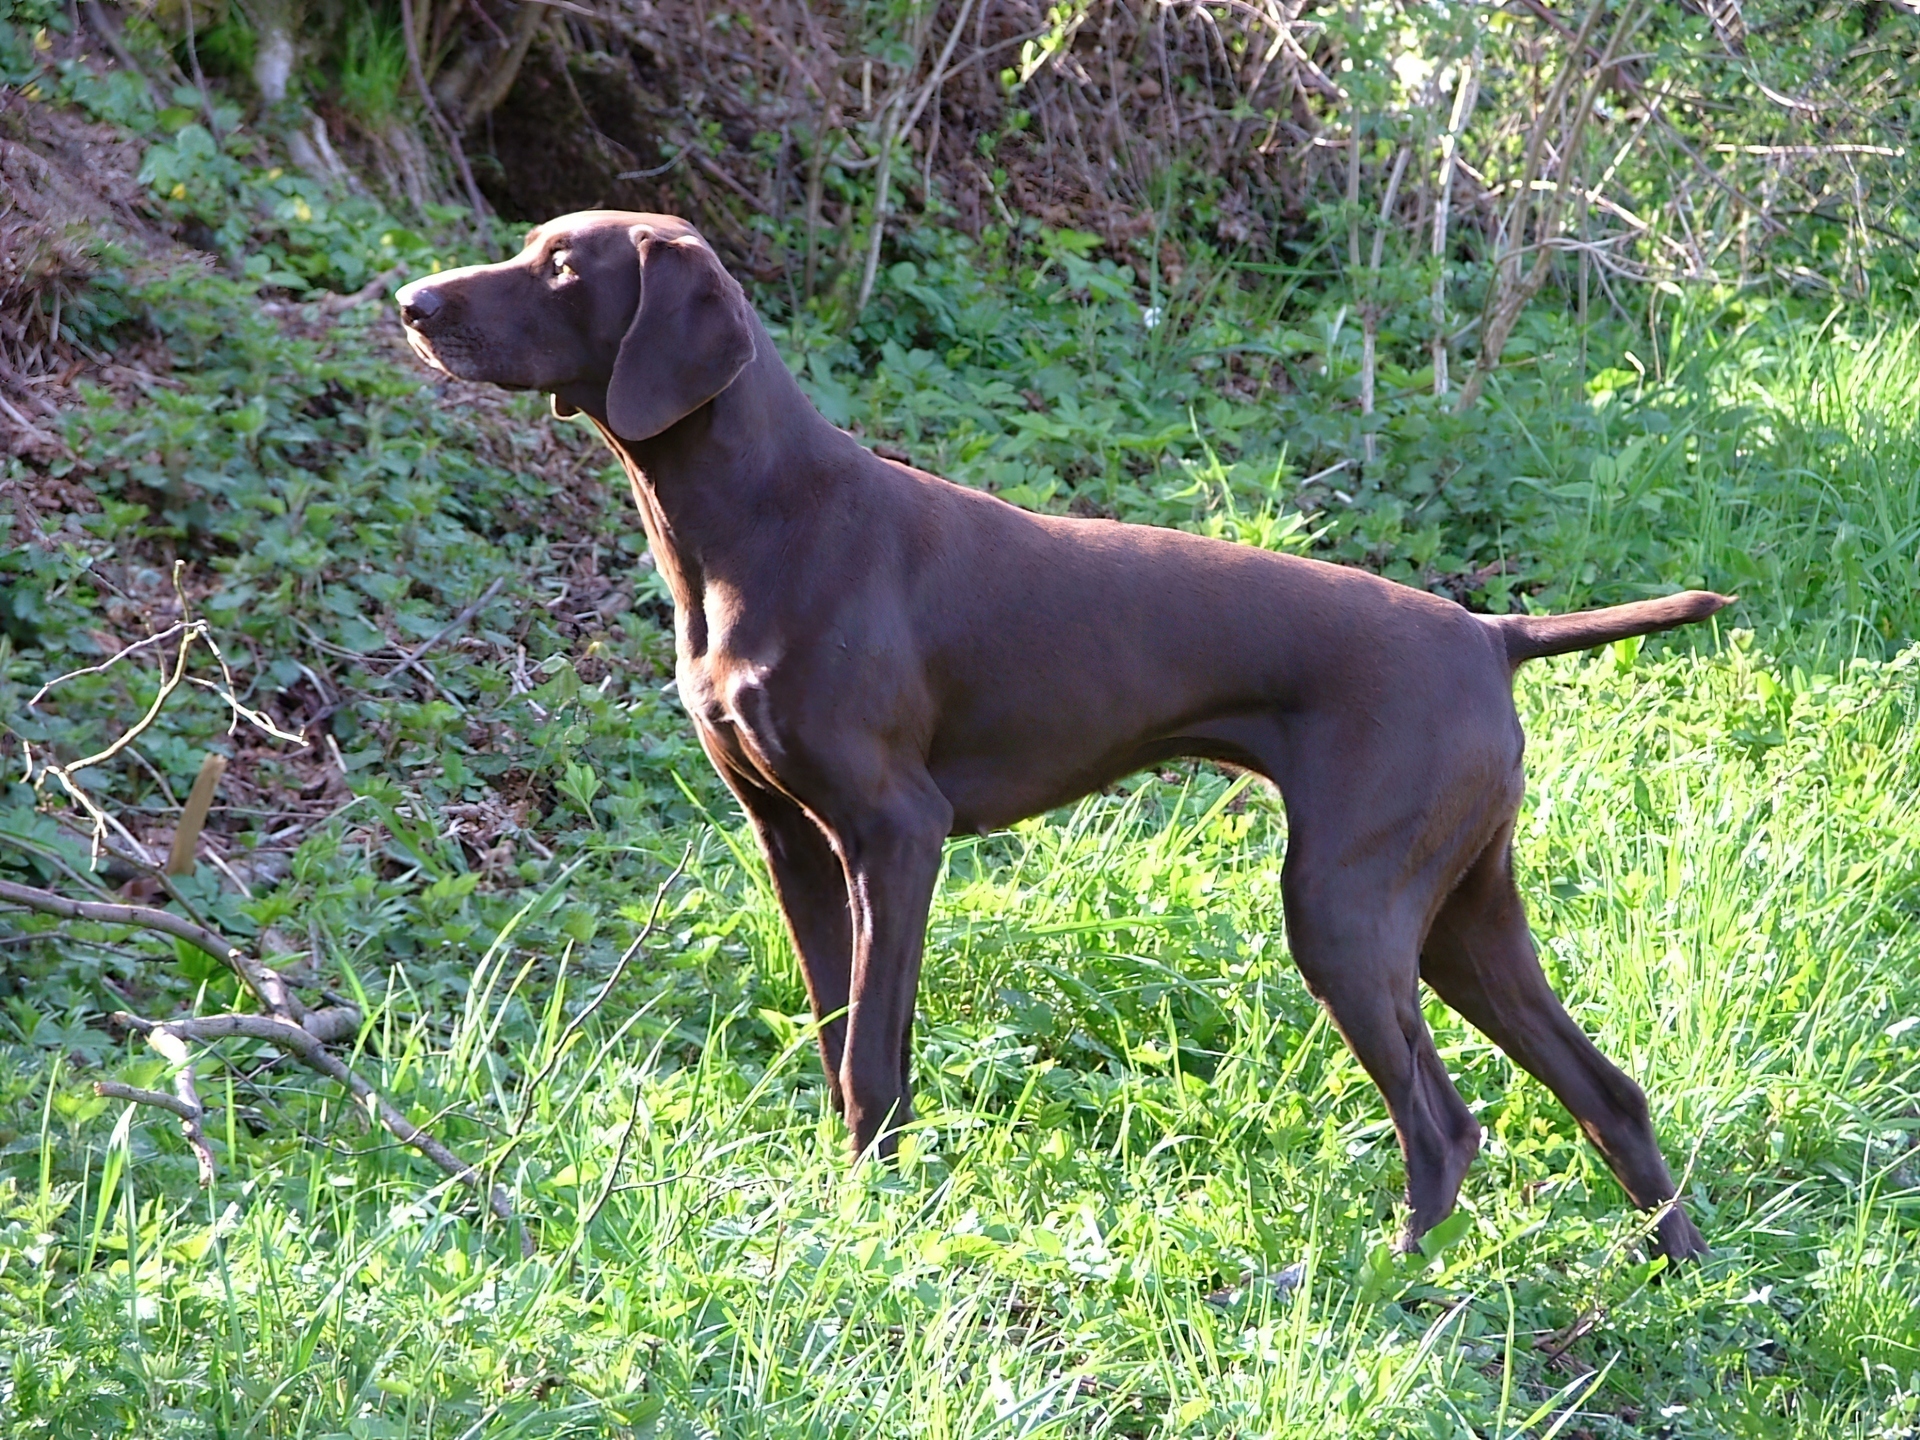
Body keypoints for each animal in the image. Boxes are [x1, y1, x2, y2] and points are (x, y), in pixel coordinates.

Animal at [397, 208, 1720, 1259]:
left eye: (563, 267)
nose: (409, 304)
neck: (759, 522)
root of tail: (1489, 634)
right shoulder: (795, 845)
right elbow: (834, 1043)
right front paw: (848, 1198)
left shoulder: (897, 836)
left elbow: (874, 1059)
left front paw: (877, 1216)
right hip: (1458, 915)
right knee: (1610, 1093)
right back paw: (1686, 1275)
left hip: (1345, 909)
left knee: (1446, 1130)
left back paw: (1377, 1283)